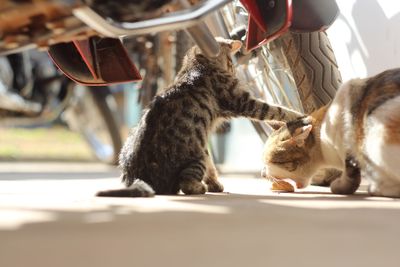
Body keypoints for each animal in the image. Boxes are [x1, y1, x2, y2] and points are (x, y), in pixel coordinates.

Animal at [97, 37, 302, 199]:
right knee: (186, 184)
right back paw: (199, 188)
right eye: (230, 61)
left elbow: (212, 166)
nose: (234, 71)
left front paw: (215, 184)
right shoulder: (241, 101)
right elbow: (272, 109)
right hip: (195, 158)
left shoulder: (208, 142)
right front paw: (298, 115)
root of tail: (137, 176)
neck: (195, 64)